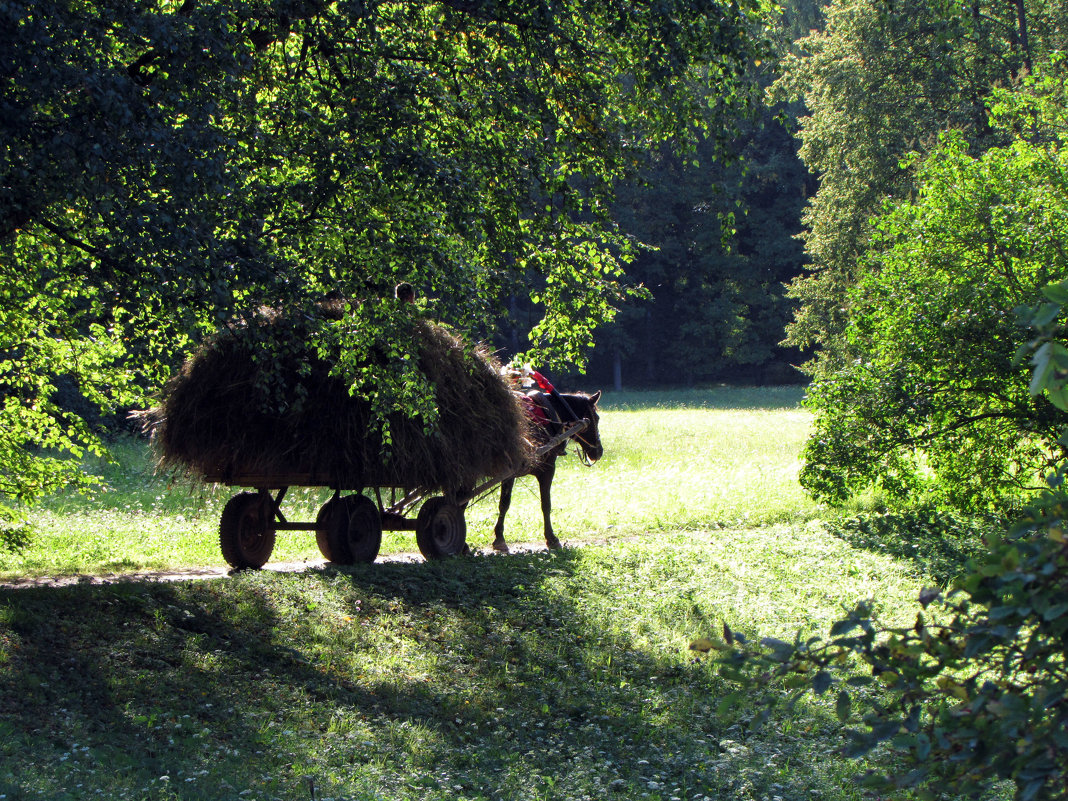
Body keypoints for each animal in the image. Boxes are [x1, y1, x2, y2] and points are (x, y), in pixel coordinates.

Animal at [491, 386, 602, 551]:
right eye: (596, 417)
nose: (599, 451)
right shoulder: (545, 470)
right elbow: (544, 504)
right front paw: (551, 538)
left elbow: (504, 504)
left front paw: (499, 537)